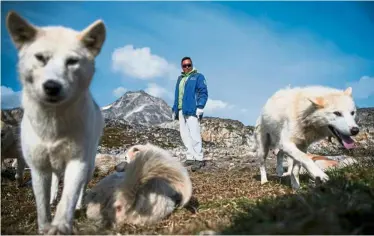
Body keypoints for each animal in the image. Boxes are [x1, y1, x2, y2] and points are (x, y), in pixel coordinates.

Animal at [5, 10, 106, 233]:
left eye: (72, 61)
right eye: (41, 58)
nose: (52, 86)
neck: (53, 125)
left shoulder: (77, 162)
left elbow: (68, 199)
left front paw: (60, 226)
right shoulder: (39, 167)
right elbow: (42, 207)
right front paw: (45, 226)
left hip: (89, 165)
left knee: (80, 189)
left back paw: (78, 205)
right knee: (53, 184)